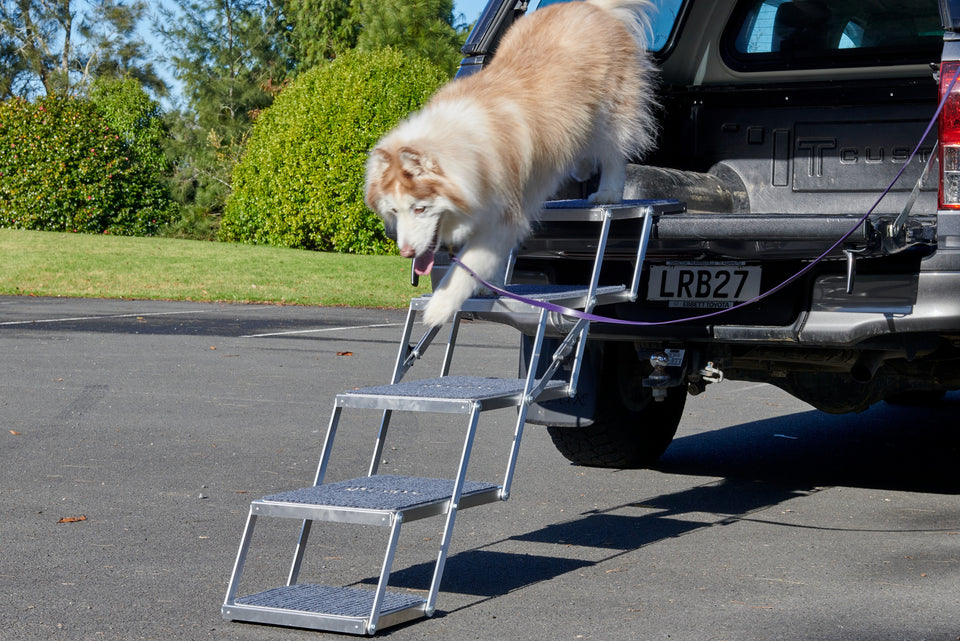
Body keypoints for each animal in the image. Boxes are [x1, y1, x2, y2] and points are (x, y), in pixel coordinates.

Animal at [364, 0, 656, 328]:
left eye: (420, 209)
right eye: (393, 211)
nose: (406, 252)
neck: (462, 149)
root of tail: (587, 5)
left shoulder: (503, 216)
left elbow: (465, 266)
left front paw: (438, 308)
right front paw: (491, 286)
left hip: (610, 112)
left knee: (614, 153)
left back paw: (608, 192)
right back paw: (581, 168)